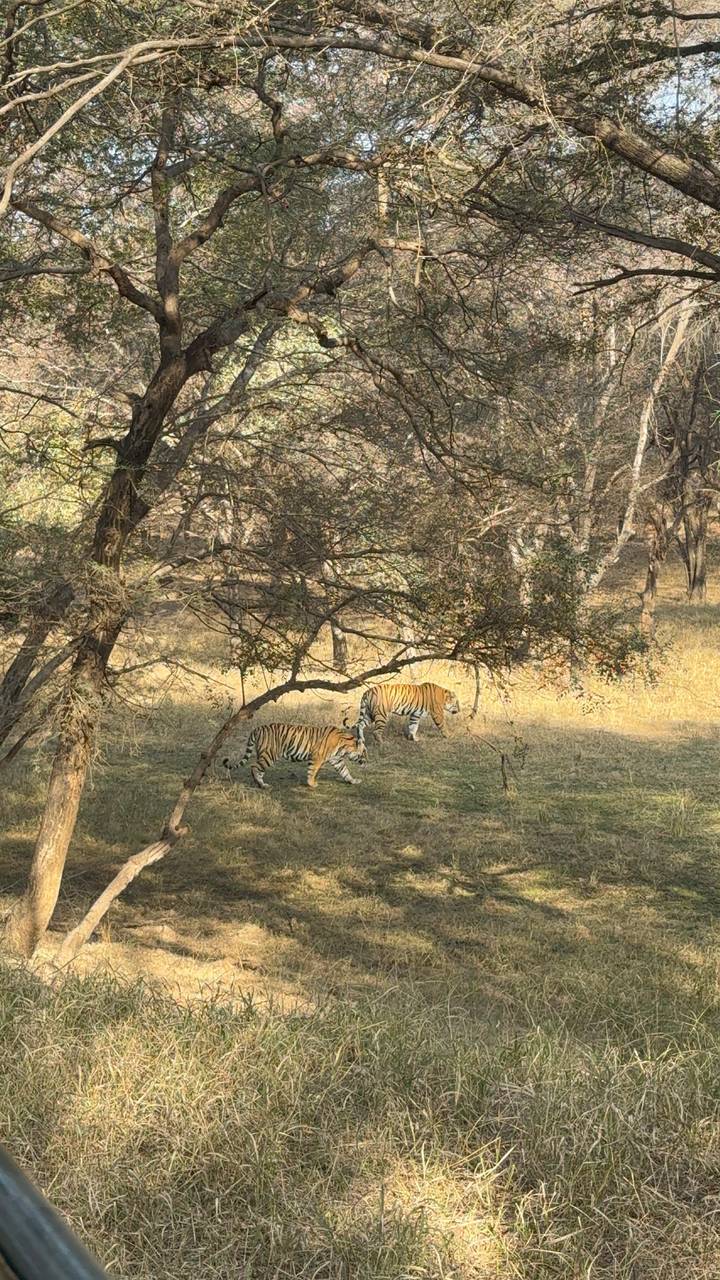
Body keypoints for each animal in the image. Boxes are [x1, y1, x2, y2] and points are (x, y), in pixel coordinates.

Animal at [222, 723, 367, 790]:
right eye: (365, 753)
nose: (367, 762)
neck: (343, 746)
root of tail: (258, 728)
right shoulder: (317, 757)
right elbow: (312, 771)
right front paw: (312, 784)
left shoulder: (337, 760)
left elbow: (345, 772)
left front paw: (354, 781)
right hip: (269, 755)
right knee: (254, 767)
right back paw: (261, 784)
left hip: (263, 755)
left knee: (259, 769)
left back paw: (261, 783)